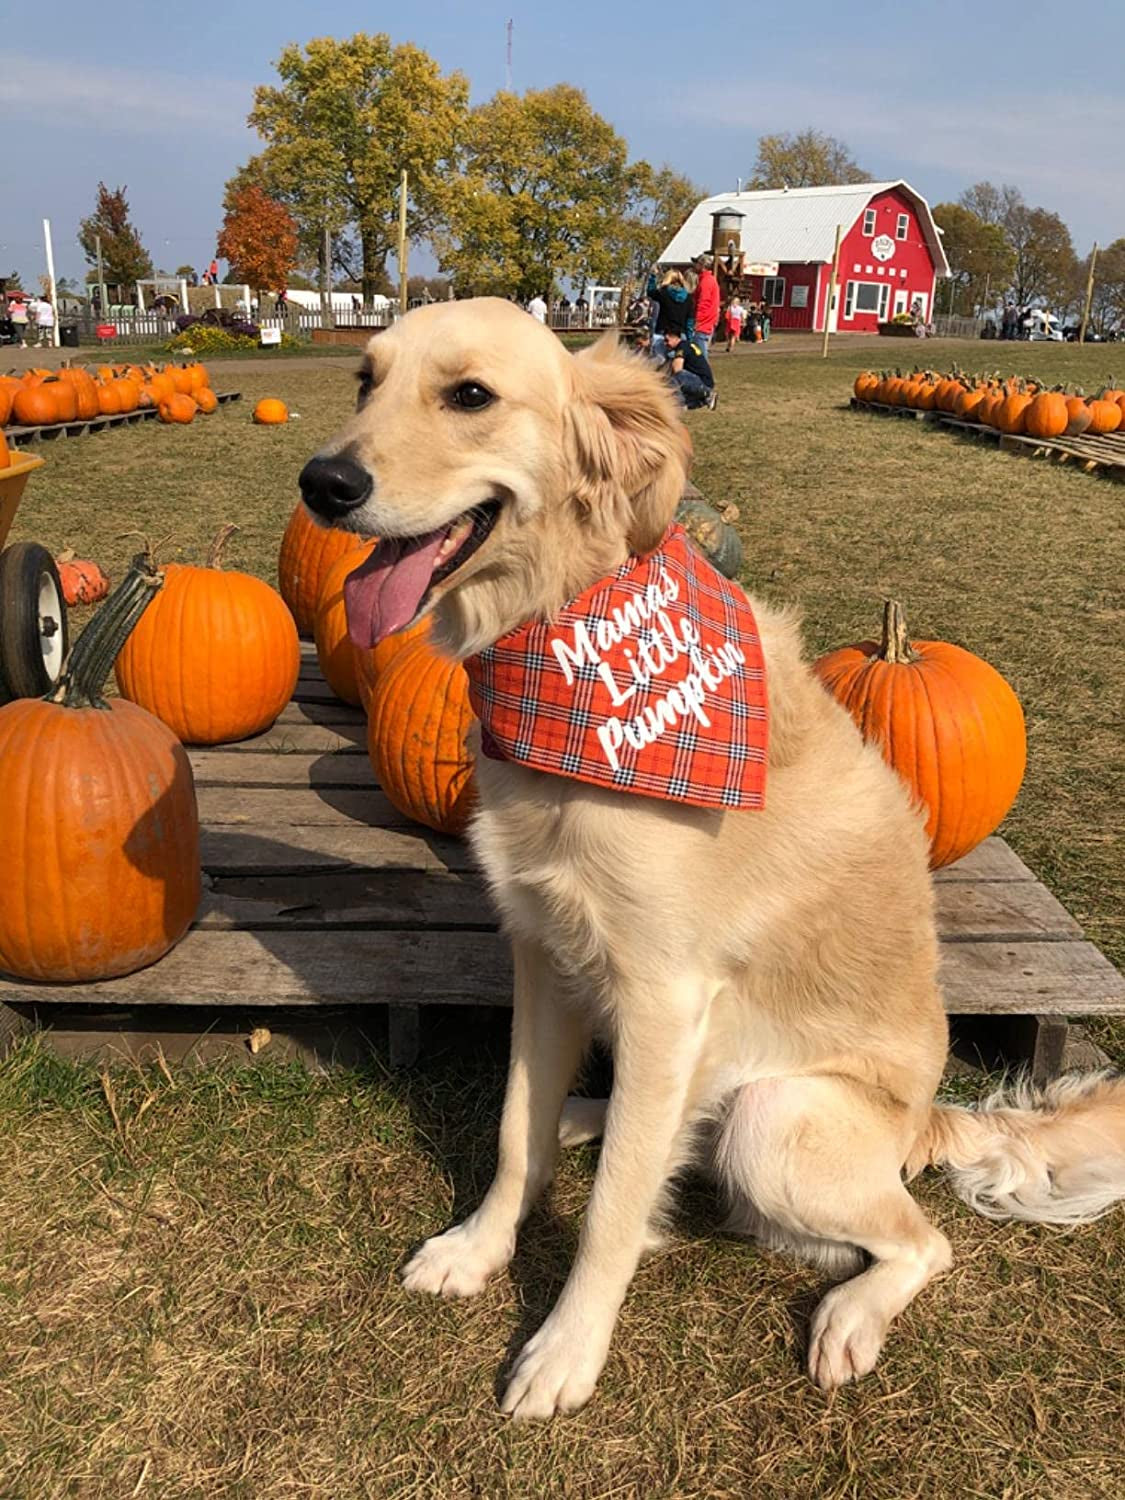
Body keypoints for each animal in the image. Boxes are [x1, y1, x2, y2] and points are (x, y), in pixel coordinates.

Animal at [300, 298, 1125, 1422]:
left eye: (469, 395)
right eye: (362, 381)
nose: (322, 483)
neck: (569, 637)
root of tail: (922, 1127)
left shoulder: (663, 990)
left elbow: (612, 1211)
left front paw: (566, 1348)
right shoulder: (543, 955)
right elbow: (516, 1132)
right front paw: (478, 1247)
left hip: (776, 1119)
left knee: (920, 1242)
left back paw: (848, 1317)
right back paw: (593, 1118)